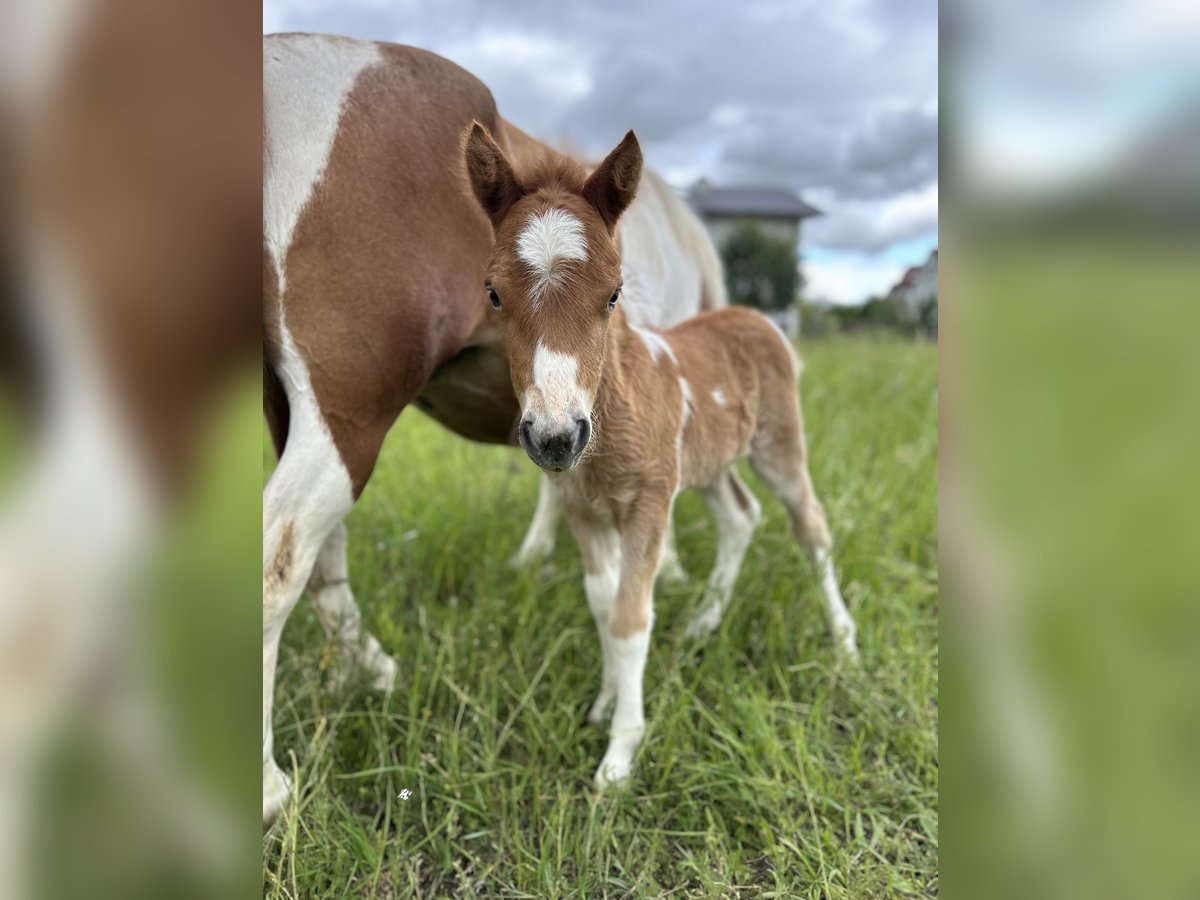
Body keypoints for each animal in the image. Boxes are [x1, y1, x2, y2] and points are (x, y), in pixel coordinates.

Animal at [458, 123, 854, 787]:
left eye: (614, 293)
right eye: (492, 293)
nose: (556, 437)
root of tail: (758, 318)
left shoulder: (647, 503)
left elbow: (631, 617)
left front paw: (619, 756)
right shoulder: (584, 509)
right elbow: (602, 604)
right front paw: (603, 703)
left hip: (777, 446)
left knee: (811, 526)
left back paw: (845, 640)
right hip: (706, 462)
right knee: (741, 516)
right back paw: (704, 623)